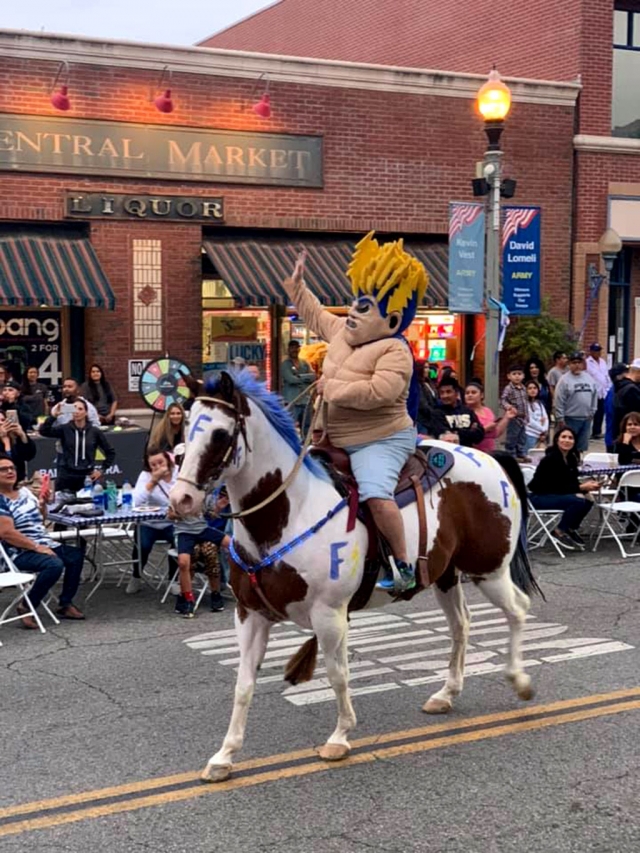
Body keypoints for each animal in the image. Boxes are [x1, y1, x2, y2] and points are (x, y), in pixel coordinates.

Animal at [171, 370, 540, 784]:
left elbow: (338, 674)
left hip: (488, 569)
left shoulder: (329, 614)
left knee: (517, 610)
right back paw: (446, 694)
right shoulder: (250, 615)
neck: (288, 513)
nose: (181, 500)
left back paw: (519, 680)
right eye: (185, 425)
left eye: (220, 434)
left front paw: (340, 736)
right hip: (446, 574)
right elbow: (244, 684)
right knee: (462, 624)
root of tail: (490, 458)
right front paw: (224, 756)